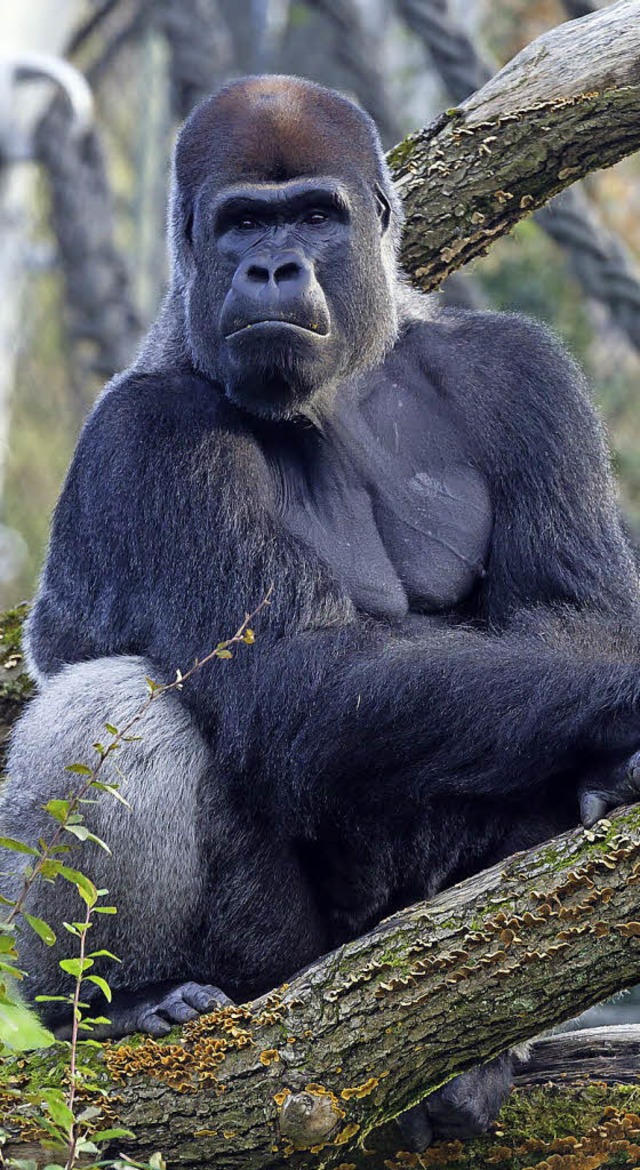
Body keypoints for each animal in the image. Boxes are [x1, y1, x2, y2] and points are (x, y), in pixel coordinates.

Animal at [1, 75, 640, 1151]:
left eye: (312, 216)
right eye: (241, 223)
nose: (271, 267)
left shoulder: (522, 373)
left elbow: (576, 612)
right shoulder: (148, 438)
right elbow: (289, 680)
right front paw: (632, 700)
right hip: (280, 979)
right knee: (115, 703)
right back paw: (123, 1004)